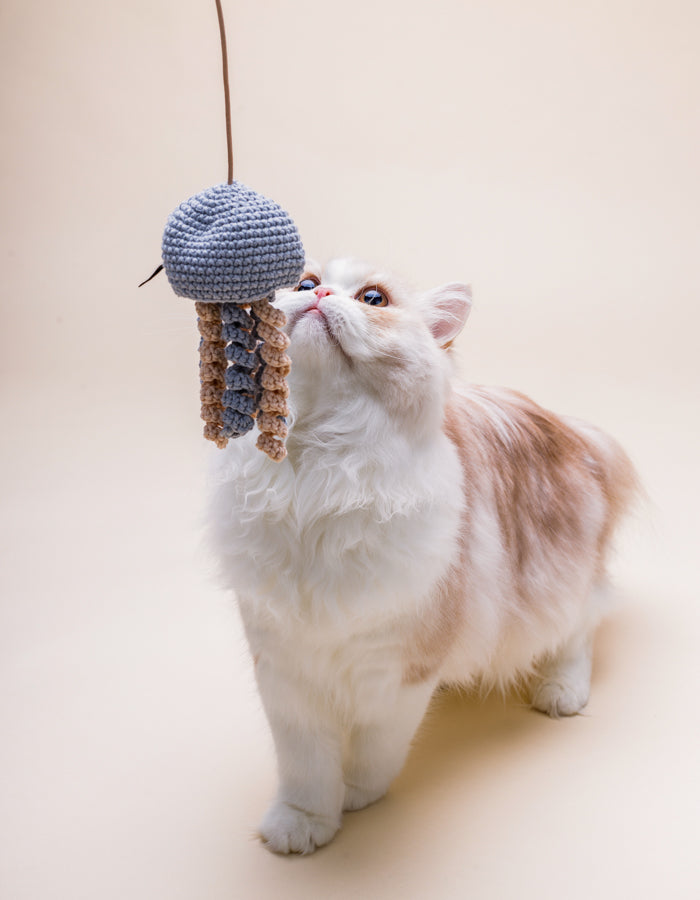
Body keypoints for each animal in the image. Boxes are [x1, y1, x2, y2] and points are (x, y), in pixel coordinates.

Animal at [205, 256, 636, 856]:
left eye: (374, 299)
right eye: (305, 284)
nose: (321, 297)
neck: (319, 468)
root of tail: (576, 432)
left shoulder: (400, 664)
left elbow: (375, 746)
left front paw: (357, 797)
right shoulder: (285, 662)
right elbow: (305, 765)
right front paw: (302, 825)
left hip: (555, 581)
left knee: (580, 631)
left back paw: (561, 691)